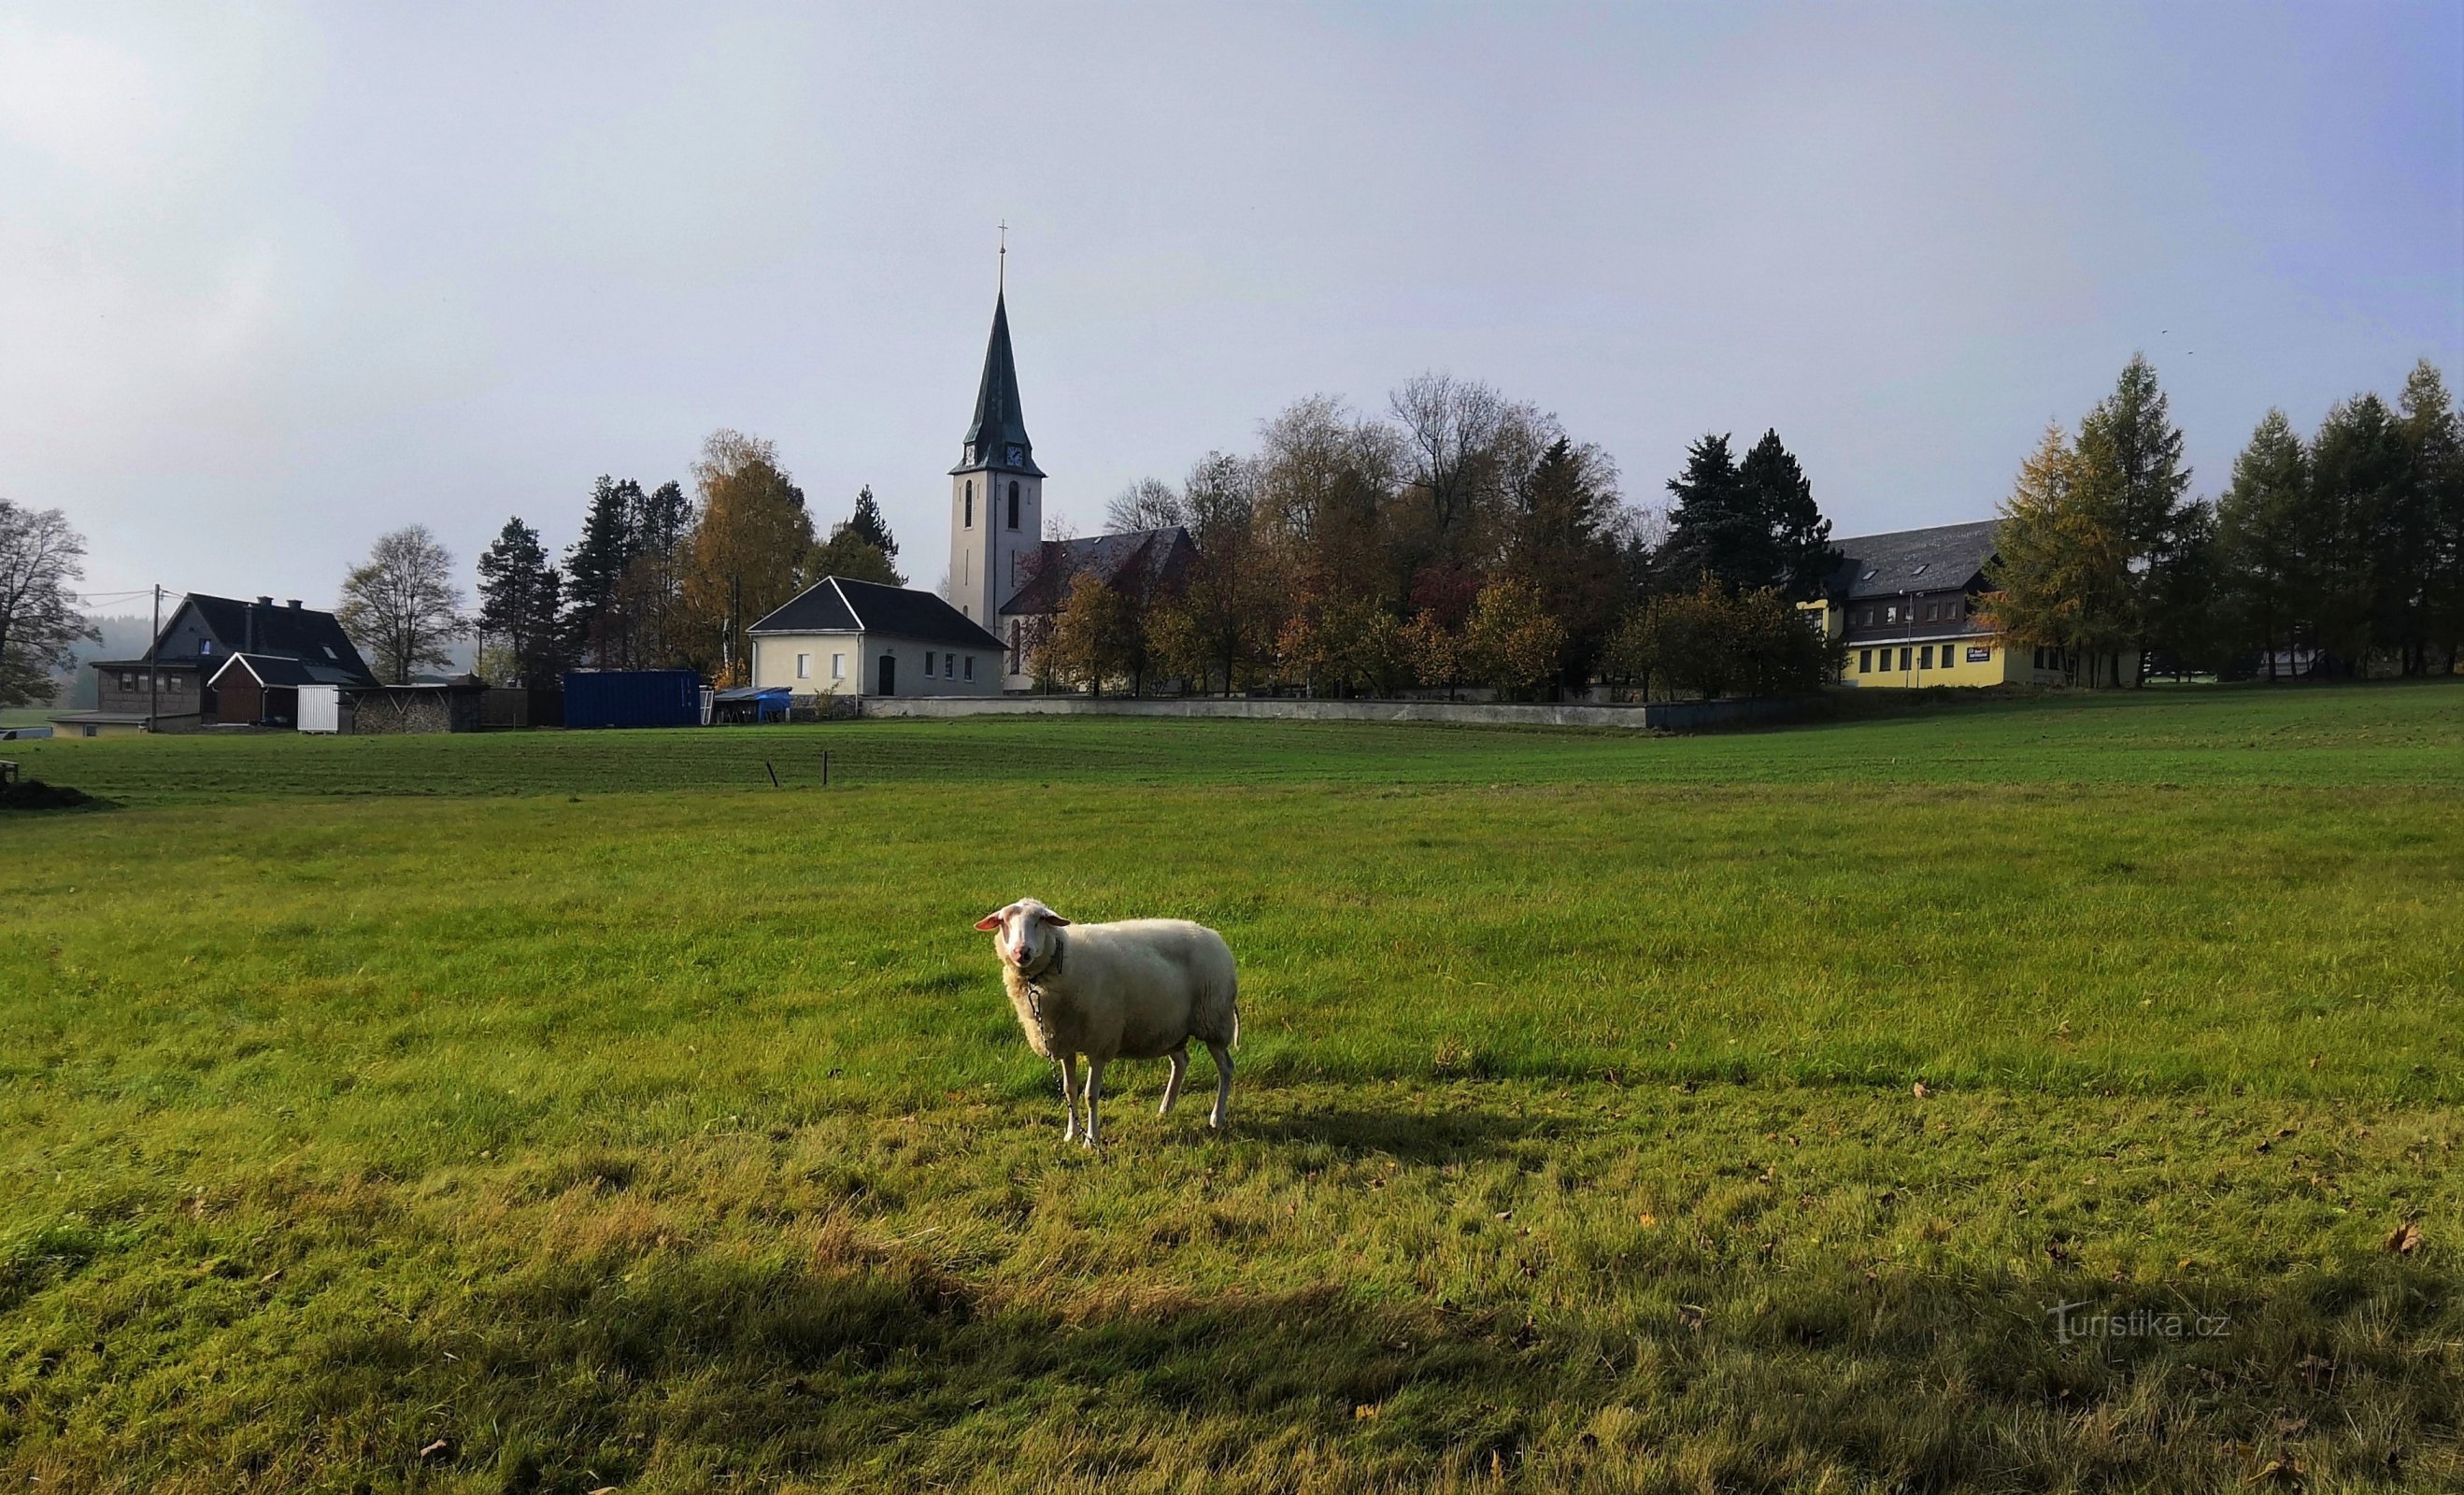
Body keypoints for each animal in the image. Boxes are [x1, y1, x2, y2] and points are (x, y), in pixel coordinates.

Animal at [970, 896, 1242, 1152]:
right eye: (1003, 921)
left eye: (1040, 920)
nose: (1021, 952)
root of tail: (1214, 936)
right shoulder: (1064, 1042)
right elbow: (1069, 1090)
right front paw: (1071, 1133)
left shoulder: (1100, 1041)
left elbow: (1091, 1094)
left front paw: (1091, 1139)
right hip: (1170, 1027)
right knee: (1181, 1062)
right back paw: (1166, 1109)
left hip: (1214, 1020)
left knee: (1226, 1068)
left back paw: (1217, 1118)